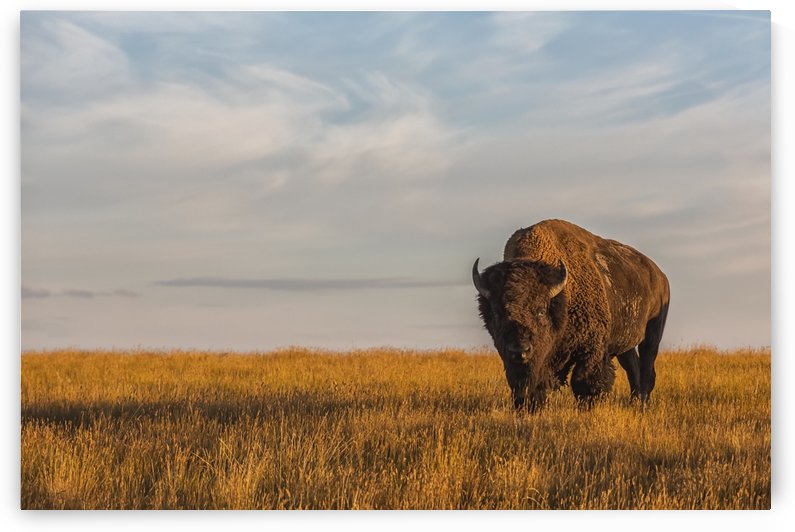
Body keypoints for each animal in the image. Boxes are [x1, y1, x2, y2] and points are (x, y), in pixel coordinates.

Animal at [472, 219, 670, 411]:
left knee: (647, 369)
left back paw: (643, 404)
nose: (520, 351)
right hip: (624, 343)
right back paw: (634, 402)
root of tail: (660, 275)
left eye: (541, 311)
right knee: (633, 368)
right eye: (496, 313)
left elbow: (583, 381)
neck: (562, 296)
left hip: (653, 332)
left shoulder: (592, 349)